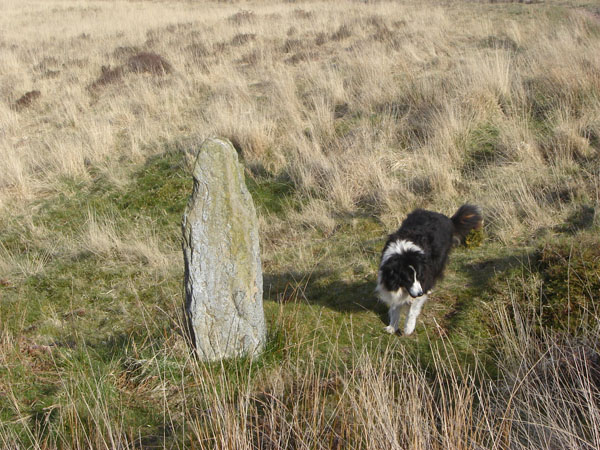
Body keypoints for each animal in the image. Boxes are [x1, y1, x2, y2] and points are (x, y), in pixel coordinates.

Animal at [378, 204, 480, 334]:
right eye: (407, 278)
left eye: (419, 276)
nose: (420, 293)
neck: (404, 252)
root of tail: (447, 218)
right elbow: (395, 303)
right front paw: (392, 326)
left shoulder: (425, 273)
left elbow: (413, 308)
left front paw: (408, 328)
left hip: (440, 257)